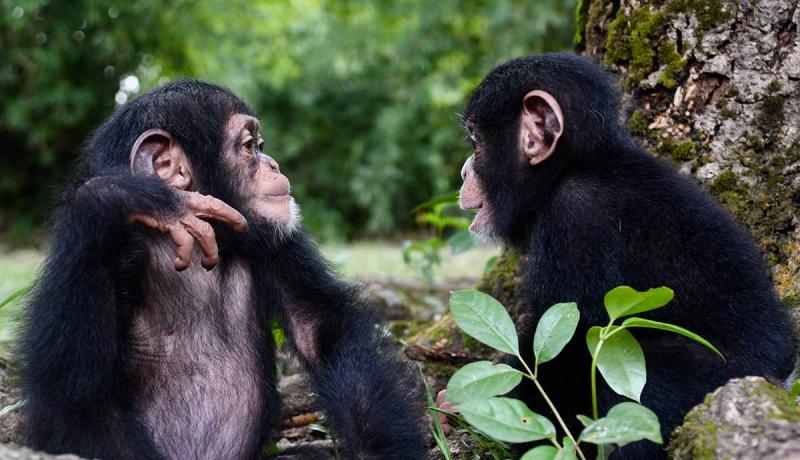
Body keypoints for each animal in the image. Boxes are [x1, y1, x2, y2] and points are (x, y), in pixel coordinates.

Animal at [18, 80, 428, 460]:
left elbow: (320, 327)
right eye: (249, 146)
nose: (274, 164)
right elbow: (72, 389)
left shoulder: (279, 238)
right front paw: (120, 196)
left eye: (261, 145)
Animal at [454, 52, 796, 454]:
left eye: (475, 141)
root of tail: (784, 378)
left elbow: (568, 346)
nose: (464, 172)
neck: (575, 168)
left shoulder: (576, 217)